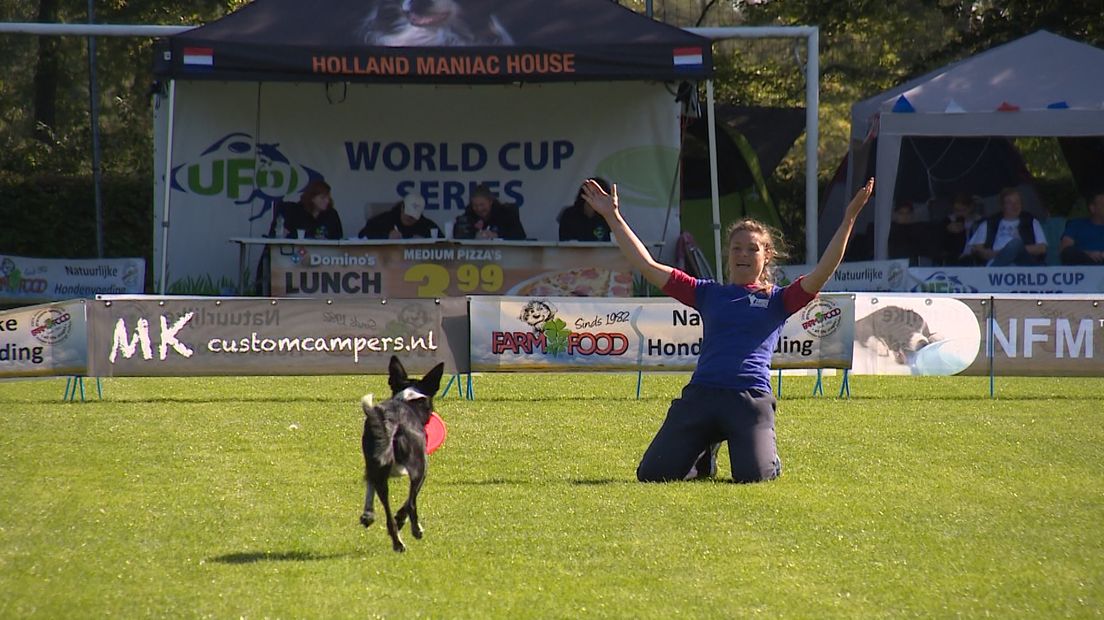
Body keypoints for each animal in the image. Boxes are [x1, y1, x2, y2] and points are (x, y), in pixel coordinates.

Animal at [364, 355, 446, 551]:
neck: (408, 400)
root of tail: (391, 421)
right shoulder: (421, 469)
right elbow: (410, 501)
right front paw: (403, 520)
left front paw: (368, 515)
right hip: (419, 465)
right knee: (411, 502)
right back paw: (411, 532)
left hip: (376, 462)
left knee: (384, 502)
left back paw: (394, 538)